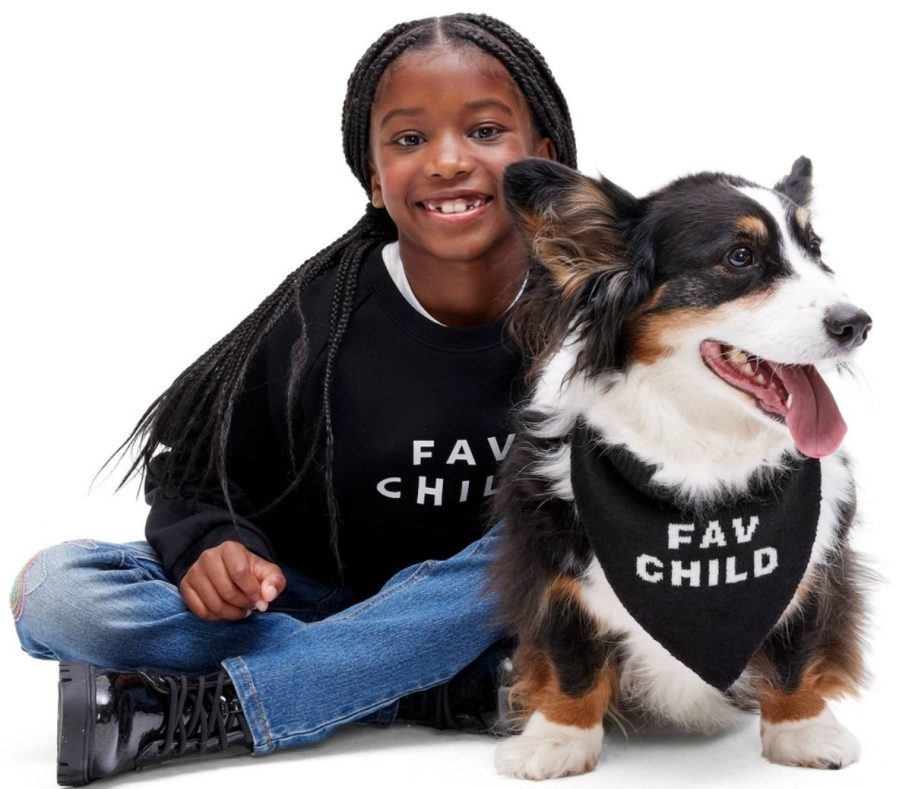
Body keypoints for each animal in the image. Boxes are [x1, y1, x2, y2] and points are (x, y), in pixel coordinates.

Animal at [488, 157, 872, 780]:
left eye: (815, 249)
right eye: (740, 257)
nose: (858, 324)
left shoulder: (819, 563)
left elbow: (798, 646)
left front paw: (803, 730)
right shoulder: (550, 557)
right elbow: (570, 653)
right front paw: (557, 738)